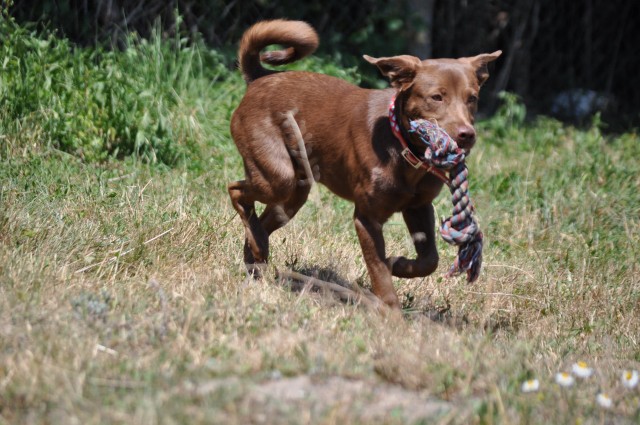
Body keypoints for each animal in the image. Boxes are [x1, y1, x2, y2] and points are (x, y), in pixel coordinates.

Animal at [228, 19, 502, 308]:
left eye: (472, 98)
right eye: (437, 97)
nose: (466, 134)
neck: (403, 148)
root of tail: (261, 78)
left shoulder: (419, 206)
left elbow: (429, 260)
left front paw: (398, 264)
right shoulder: (367, 218)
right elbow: (379, 271)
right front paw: (390, 311)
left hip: (294, 193)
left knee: (264, 220)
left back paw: (256, 256)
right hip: (278, 175)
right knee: (236, 190)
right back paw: (257, 246)